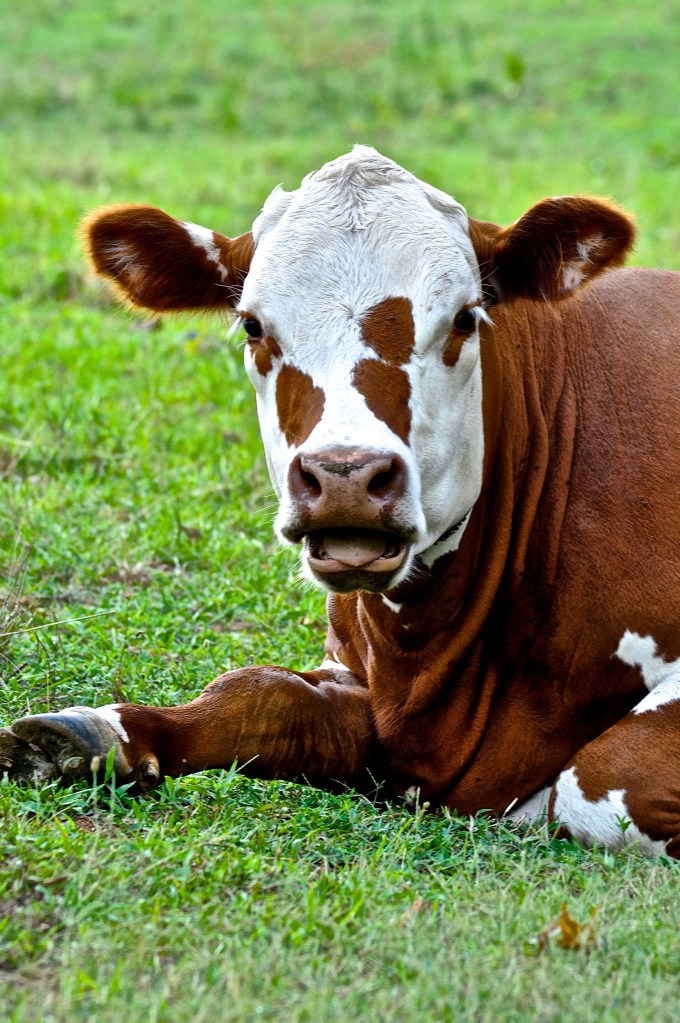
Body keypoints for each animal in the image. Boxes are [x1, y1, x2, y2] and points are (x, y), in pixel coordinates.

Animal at [2, 147, 680, 857]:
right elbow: (260, 693)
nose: (346, 476)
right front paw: (95, 734)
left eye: (465, 318)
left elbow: (598, 780)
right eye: (253, 326)